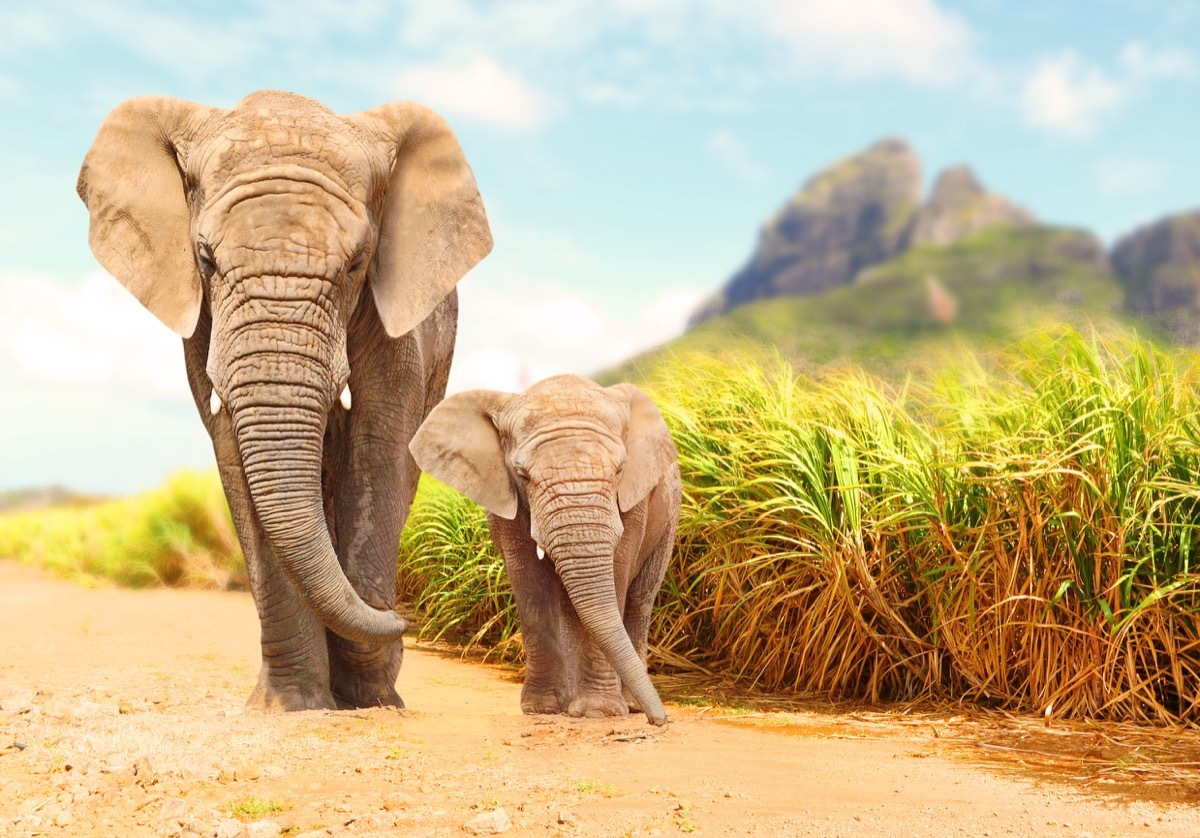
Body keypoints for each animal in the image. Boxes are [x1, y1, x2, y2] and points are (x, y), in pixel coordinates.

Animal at [76, 90, 492, 711]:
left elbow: (380, 441)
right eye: (205, 259)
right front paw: (291, 706)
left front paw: (370, 696)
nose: (406, 621)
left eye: (358, 262)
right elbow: (233, 450)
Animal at [409, 375, 681, 726]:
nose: (660, 721)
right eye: (523, 475)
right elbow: (530, 583)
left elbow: (618, 572)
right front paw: (542, 709)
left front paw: (598, 712)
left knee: (638, 600)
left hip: (669, 519)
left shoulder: (634, 501)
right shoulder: (505, 498)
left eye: (620, 470)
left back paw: (629, 705)